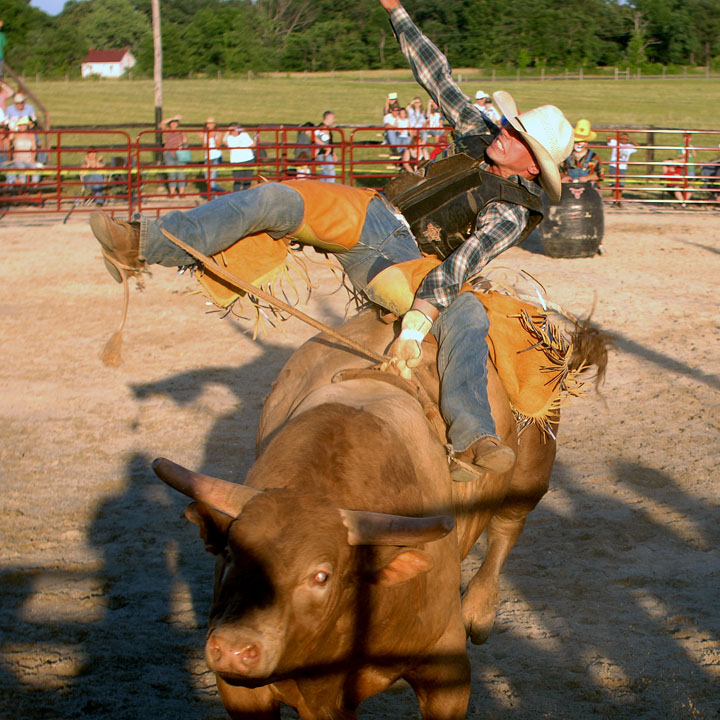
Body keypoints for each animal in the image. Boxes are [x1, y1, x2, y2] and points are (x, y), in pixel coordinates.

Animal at [155, 310, 604, 720]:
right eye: (230, 554)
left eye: (322, 575)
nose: (234, 649)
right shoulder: (243, 691)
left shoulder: (447, 671)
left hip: (533, 466)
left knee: (507, 526)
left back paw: (479, 611)